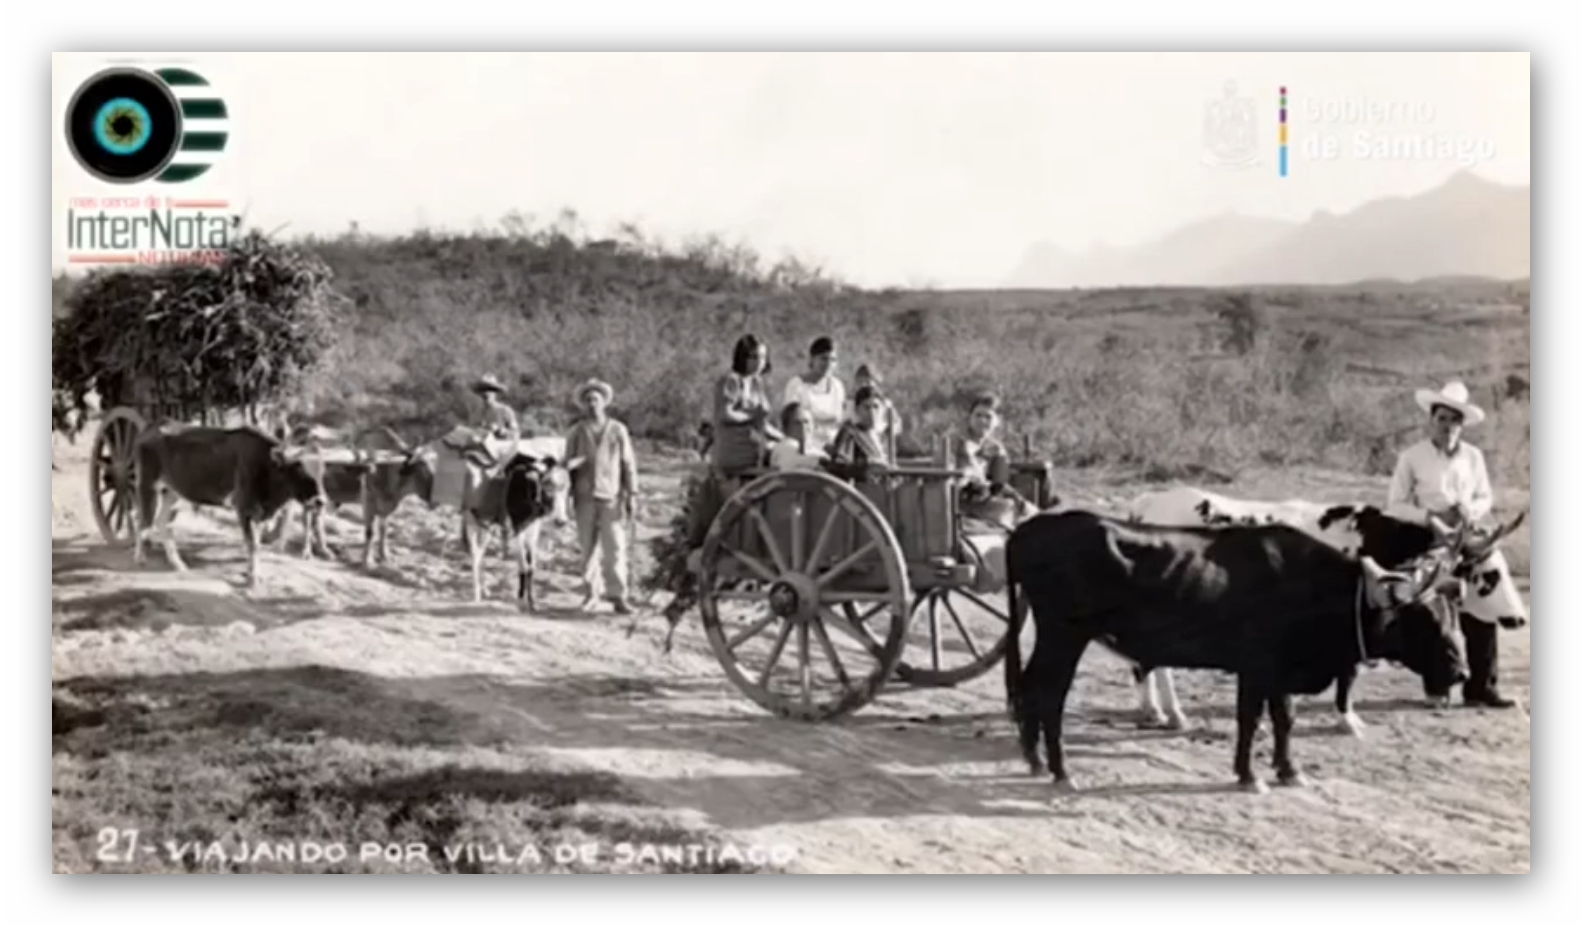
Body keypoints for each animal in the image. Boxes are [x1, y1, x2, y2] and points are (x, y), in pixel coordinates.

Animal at [132, 424, 327, 587]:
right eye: (299, 469)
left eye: (320, 470)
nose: (320, 501)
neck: (265, 464)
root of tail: (147, 431)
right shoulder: (244, 509)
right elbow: (253, 544)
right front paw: (253, 578)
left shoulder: (259, 513)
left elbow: (256, 543)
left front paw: (252, 573)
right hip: (147, 485)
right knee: (143, 520)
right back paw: (140, 558)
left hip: (172, 493)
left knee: (161, 522)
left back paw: (178, 564)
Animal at [449, 437, 578, 612]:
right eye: (547, 485)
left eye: (567, 487)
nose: (561, 521)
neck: (526, 488)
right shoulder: (518, 528)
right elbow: (523, 565)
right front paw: (522, 602)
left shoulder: (532, 529)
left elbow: (531, 566)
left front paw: (531, 602)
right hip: (472, 521)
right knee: (475, 554)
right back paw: (476, 595)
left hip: (486, 524)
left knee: (481, 553)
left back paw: (485, 590)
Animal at [1003, 509, 1468, 795]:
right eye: (1423, 617)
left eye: (1454, 612)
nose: (1461, 671)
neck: (1309, 583)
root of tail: (1031, 528)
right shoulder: (1257, 667)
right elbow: (1251, 720)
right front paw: (1249, 775)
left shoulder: (1281, 672)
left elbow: (1284, 718)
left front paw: (1289, 770)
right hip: (1064, 636)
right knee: (1049, 695)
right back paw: (1061, 771)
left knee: (1029, 688)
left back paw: (1036, 760)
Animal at [1124, 487, 1522, 734]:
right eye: (1492, 574)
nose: (1519, 618)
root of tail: (1147, 503)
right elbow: (1348, 674)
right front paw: (1347, 720)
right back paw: (1173, 713)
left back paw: (1154, 709)